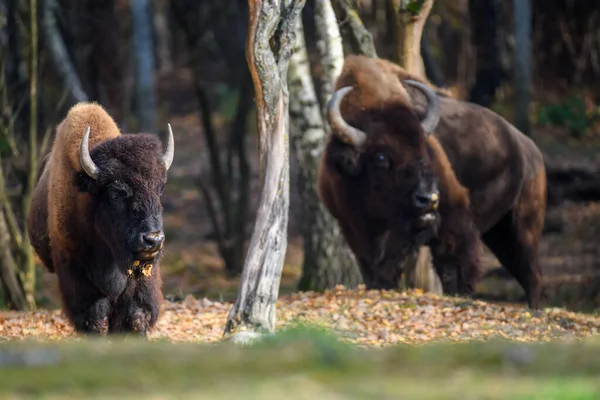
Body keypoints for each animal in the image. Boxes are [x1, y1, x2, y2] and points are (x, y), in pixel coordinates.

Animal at [27, 102, 175, 334]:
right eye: (115, 192)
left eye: (159, 189)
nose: (153, 240)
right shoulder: (75, 272)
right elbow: (95, 320)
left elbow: (136, 317)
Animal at [322, 54, 548, 310]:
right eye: (380, 157)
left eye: (425, 149)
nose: (428, 199)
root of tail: (529, 147)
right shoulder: (354, 228)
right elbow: (377, 270)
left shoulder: (451, 220)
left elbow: (453, 267)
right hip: (499, 235)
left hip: (524, 228)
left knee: (532, 275)